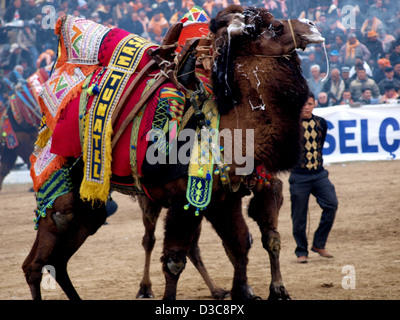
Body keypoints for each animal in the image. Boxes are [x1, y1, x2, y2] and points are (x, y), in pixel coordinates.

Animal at [21, 5, 324, 300]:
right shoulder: (185, 198)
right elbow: (175, 260)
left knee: (56, 261)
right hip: (61, 198)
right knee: (36, 264)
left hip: (90, 208)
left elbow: (241, 243)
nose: (312, 26)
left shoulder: (224, 197)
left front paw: (251, 292)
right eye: (275, 27)